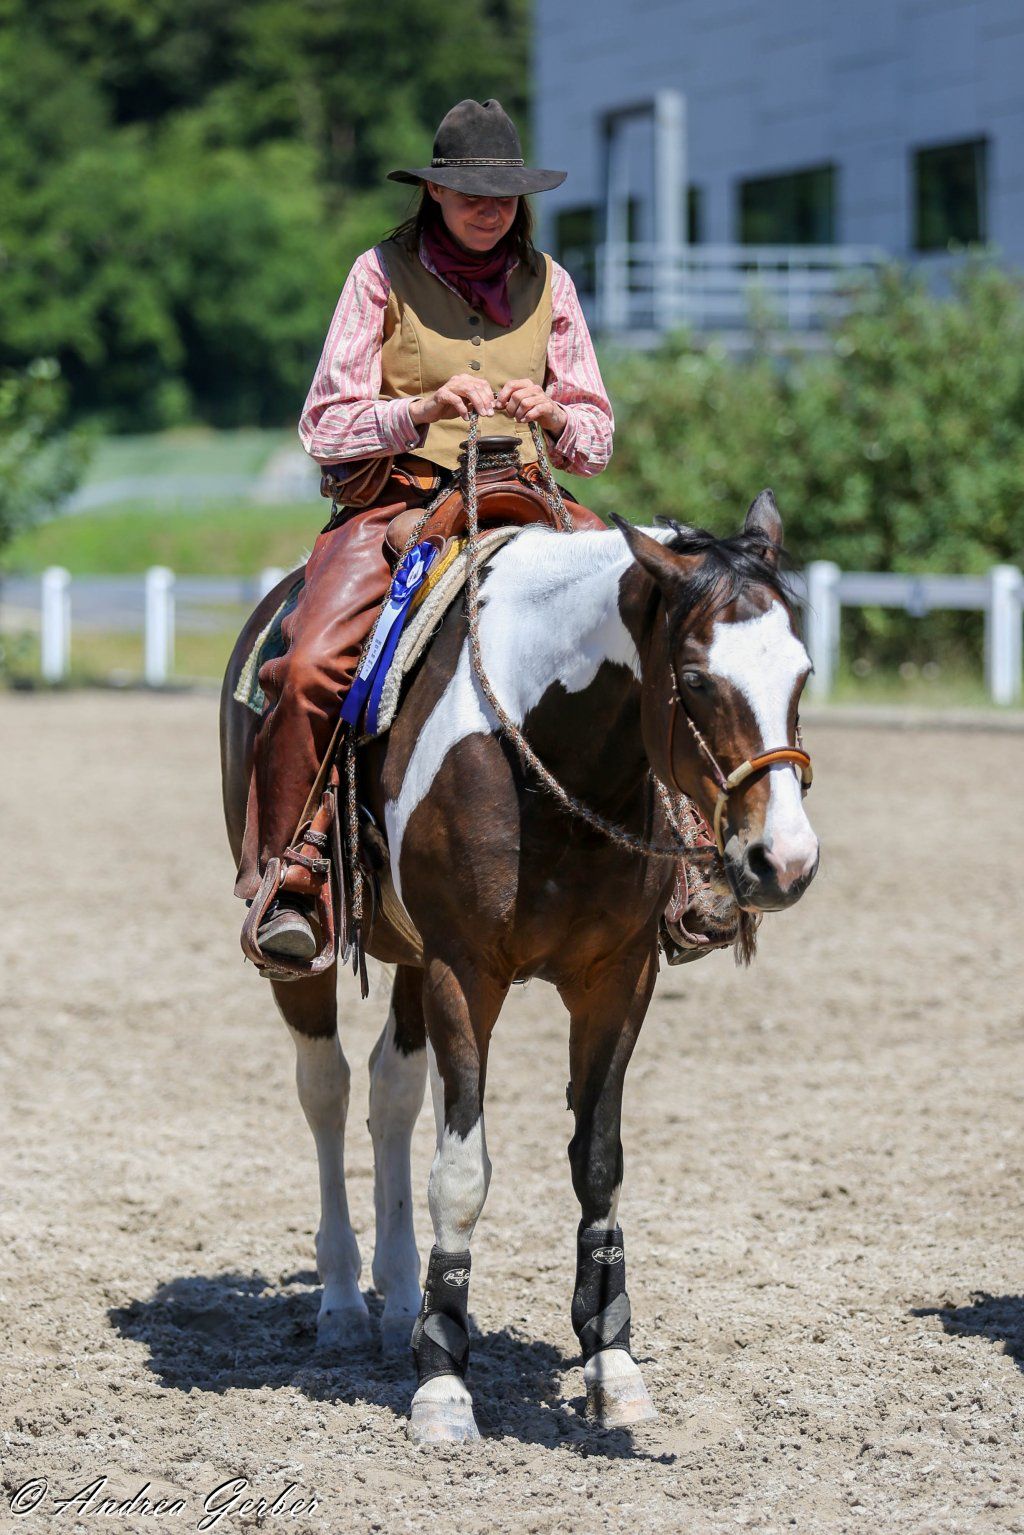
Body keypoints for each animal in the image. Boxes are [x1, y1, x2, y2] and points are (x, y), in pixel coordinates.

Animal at [219, 487, 819, 1444]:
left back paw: (398, 1300)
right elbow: (462, 1172)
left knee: (393, 1090)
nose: (785, 860)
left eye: (801, 674)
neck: (548, 752)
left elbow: (597, 1163)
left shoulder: (618, 978)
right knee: (329, 1087)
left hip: (410, 956)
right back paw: (345, 1303)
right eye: (694, 680)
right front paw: (443, 1379)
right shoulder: (466, 973)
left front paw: (611, 1361)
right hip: (313, 953)